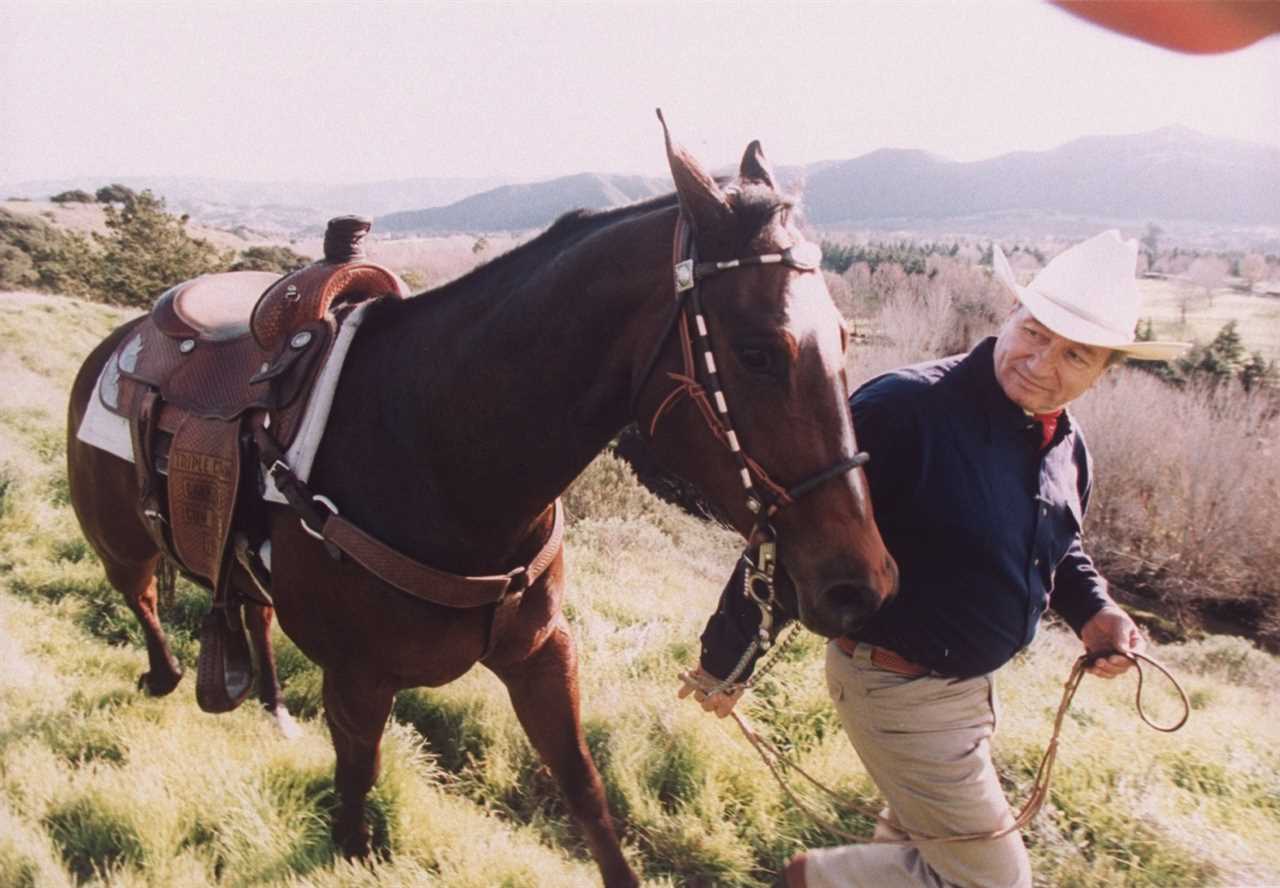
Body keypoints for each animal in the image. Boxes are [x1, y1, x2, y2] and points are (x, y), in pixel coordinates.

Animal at [64, 114, 896, 885]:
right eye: (757, 353)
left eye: (844, 337)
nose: (862, 582)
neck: (441, 454)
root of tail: (123, 340)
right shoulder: (357, 684)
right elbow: (355, 802)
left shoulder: (542, 654)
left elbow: (586, 791)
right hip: (119, 540)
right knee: (140, 594)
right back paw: (166, 674)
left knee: (251, 611)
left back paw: (269, 706)